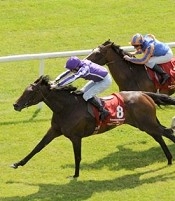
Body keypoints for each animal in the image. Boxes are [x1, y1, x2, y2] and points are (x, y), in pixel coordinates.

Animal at [11, 75, 175, 177]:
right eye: (25, 90)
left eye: (31, 92)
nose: (15, 105)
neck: (66, 107)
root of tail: (144, 94)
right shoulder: (55, 130)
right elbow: (38, 147)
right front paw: (18, 163)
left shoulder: (76, 137)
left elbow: (77, 156)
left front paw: (76, 175)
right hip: (146, 124)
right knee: (160, 136)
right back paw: (169, 159)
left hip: (147, 123)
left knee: (168, 132)